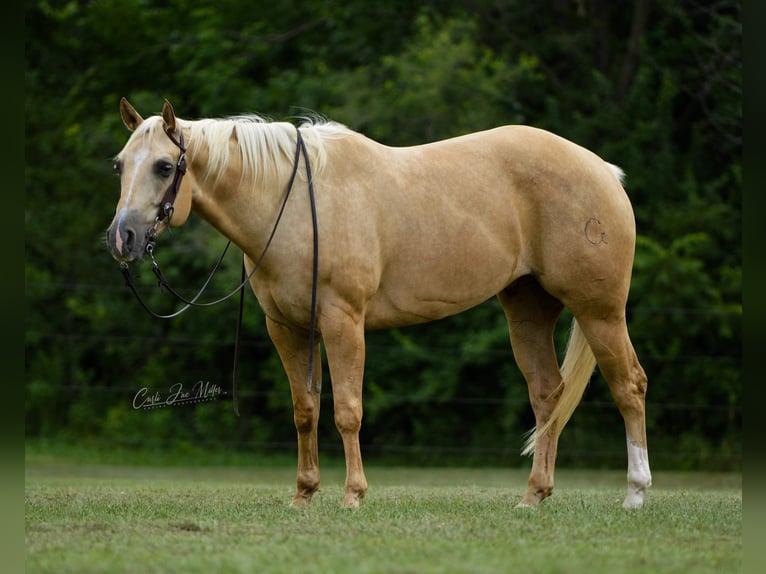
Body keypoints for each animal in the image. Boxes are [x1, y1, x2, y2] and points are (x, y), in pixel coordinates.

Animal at [105, 100, 652, 512]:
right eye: (120, 164)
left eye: (165, 166)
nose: (122, 238)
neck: (294, 202)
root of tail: (603, 171)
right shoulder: (286, 327)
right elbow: (305, 411)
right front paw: (304, 495)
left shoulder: (343, 320)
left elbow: (348, 411)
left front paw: (353, 496)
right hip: (528, 310)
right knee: (547, 394)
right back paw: (533, 496)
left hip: (600, 312)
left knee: (630, 386)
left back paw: (635, 493)